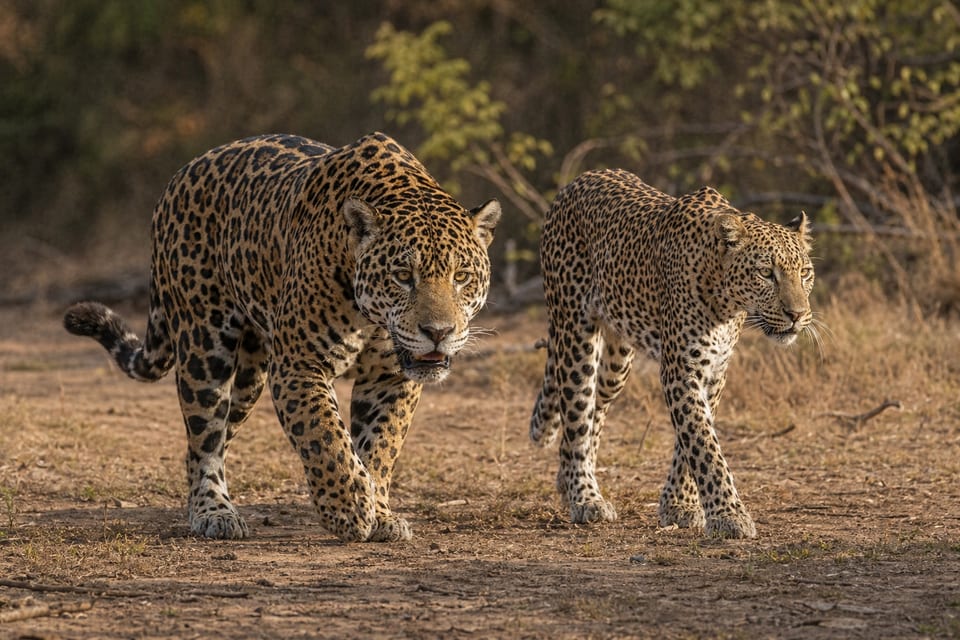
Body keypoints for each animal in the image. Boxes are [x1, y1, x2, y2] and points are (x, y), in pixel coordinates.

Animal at [64, 132, 500, 543]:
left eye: (461, 276)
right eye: (403, 276)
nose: (438, 333)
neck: (370, 317)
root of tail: (179, 175)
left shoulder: (390, 378)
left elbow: (380, 446)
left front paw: (380, 513)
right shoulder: (299, 365)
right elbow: (323, 434)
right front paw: (348, 508)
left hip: (250, 377)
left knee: (214, 438)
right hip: (204, 348)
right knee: (204, 439)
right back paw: (214, 512)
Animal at [529, 168, 815, 539]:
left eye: (804, 273)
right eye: (766, 273)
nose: (797, 314)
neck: (726, 302)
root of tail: (577, 181)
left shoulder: (713, 371)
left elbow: (690, 441)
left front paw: (680, 504)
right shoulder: (681, 369)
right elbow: (703, 444)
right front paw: (729, 515)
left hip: (617, 362)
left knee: (594, 410)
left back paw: (567, 483)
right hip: (575, 335)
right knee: (577, 412)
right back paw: (585, 497)